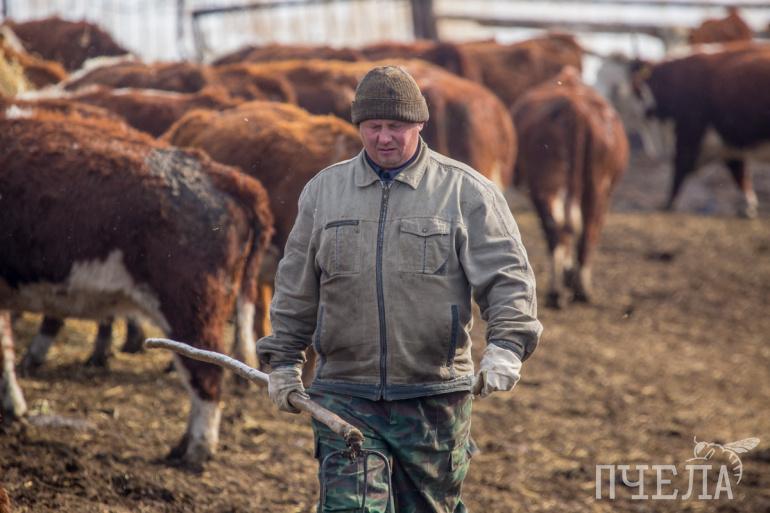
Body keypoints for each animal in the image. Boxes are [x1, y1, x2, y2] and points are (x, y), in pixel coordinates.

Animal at [629, 43, 770, 217]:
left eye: (639, 92)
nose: (644, 111)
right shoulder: (728, 144)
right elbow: (739, 173)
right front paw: (748, 207)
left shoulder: (689, 133)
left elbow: (680, 168)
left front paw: (668, 204)